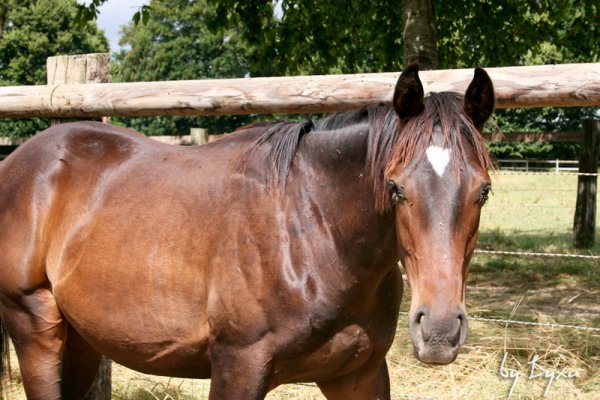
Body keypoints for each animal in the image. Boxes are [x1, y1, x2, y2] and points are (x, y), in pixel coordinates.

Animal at [0, 64, 492, 398]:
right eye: (395, 188)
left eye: (483, 190)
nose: (440, 331)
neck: (314, 235)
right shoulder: (238, 368)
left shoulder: (360, 374)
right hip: (35, 326)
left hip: (81, 341)